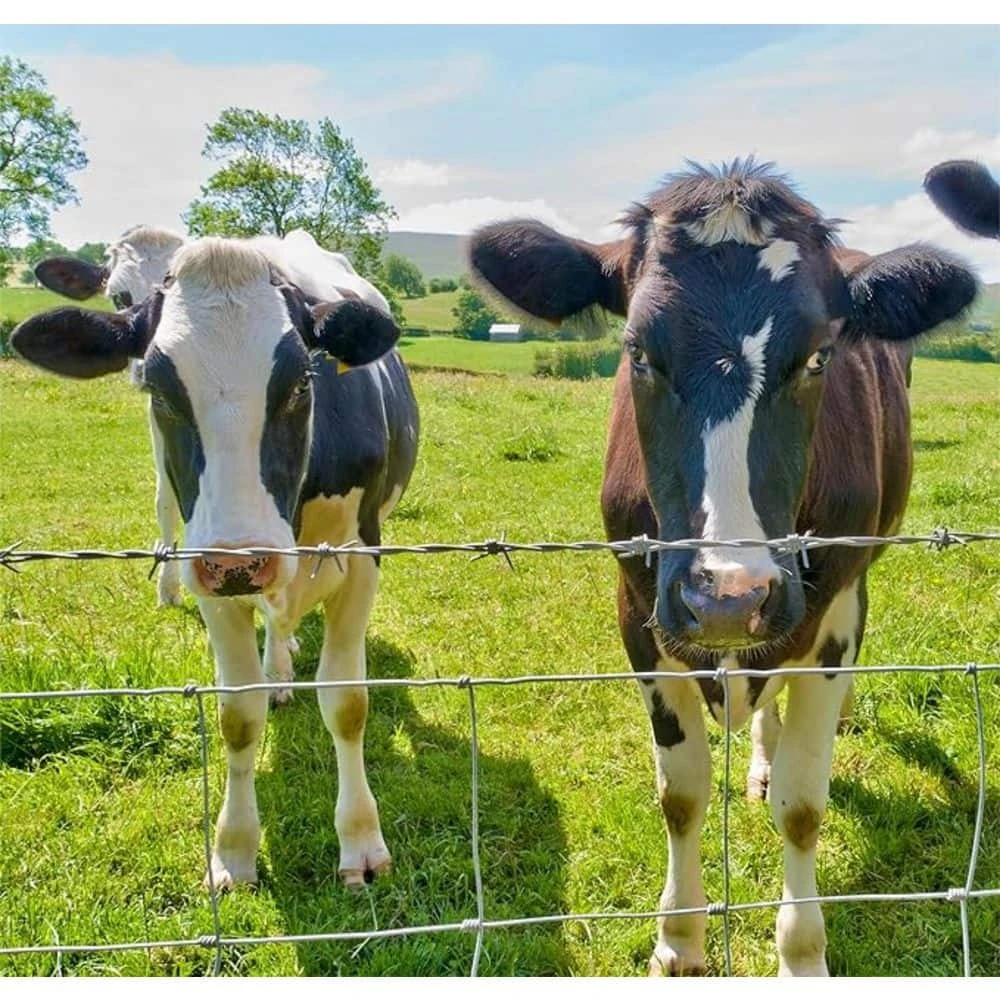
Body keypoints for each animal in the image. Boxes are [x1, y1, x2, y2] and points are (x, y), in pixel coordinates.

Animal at [467, 159, 977, 976]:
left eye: (819, 355)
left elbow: (803, 803)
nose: (728, 597)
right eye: (639, 352)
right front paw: (679, 939)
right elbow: (681, 794)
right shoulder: (638, 610)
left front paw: (801, 955)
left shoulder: (829, 618)